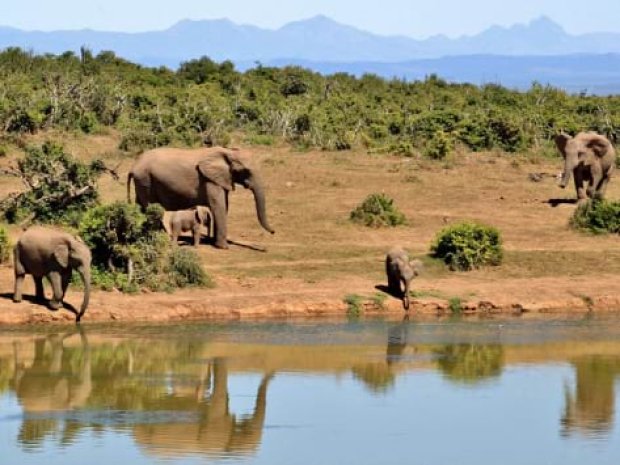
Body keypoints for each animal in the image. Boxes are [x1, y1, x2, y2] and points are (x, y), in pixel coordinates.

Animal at [127, 146, 274, 248]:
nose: (273, 232)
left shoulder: (220, 179)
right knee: (150, 208)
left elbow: (224, 207)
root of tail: (133, 166)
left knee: (141, 207)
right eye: (245, 171)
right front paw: (223, 247)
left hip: (142, 182)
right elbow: (218, 206)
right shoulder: (209, 180)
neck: (227, 152)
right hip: (146, 180)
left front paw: (215, 243)